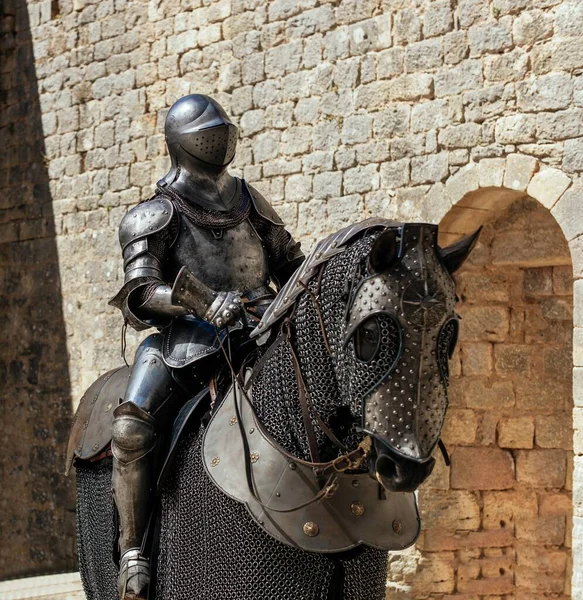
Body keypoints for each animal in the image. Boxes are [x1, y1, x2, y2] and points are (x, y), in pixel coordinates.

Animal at [68, 219, 480, 600]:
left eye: (450, 335)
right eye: (370, 334)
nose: (406, 466)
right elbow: (139, 291)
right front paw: (221, 307)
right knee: (132, 431)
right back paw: (133, 572)